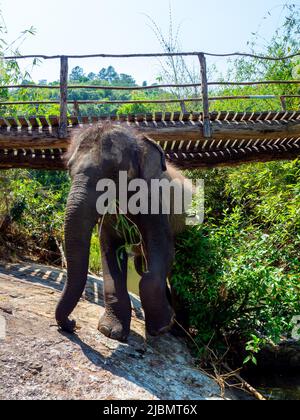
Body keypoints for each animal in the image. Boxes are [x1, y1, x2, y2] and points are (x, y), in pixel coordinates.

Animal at [56, 122, 191, 342]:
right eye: (69, 169)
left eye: (114, 172)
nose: (72, 324)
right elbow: (109, 248)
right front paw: (110, 331)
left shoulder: (156, 202)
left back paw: (179, 329)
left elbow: (162, 248)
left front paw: (161, 327)